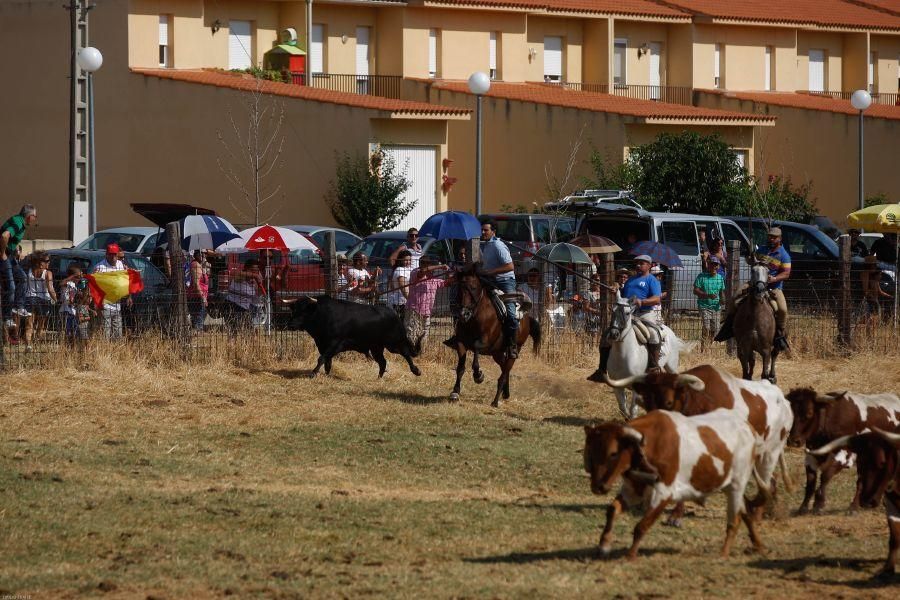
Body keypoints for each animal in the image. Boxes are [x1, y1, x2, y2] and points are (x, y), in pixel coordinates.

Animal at [284, 298, 422, 378]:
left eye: (304, 311)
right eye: (293, 310)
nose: (290, 324)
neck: (323, 315)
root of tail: (395, 314)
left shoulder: (334, 342)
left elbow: (322, 358)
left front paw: (313, 374)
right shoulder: (322, 344)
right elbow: (327, 360)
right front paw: (327, 374)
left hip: (393, 343)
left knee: (405, 353)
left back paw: (416, 371)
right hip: (376, 347)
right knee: (383, 362)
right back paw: (378, 378)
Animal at [454, 264, 536, 406]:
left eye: (473, 287)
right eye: (459, 288)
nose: (463, 314)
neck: (474, 318)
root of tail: (527, 318)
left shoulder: (485, 341)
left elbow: (476, 347)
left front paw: (478, 375)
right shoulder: (461, 342)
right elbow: (460, 368)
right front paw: (455, 392)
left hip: (514, 350)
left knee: (504, 372)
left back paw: (495, 401)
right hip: (497, 353)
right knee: (504, 369)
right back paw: (506, 393)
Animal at [584, 410, 768, 560]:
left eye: (613, 453)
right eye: (591, 451)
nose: (598, 487)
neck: (651, 444)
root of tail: (748, 427)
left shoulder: (663, 493)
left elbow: (641, 526)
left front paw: (630, 555)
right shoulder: (633, 490)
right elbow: (612, 510)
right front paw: (604, 545)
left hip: (737, 485)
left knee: (734, 522)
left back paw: (723, 553)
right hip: (729, 487)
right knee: (745, 512)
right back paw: (758, 545)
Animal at [604, 364, 796, 524]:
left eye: (668, 402)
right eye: (647, 403)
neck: (700, 404)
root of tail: (783, 399)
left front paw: (676, 514)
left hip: (770, 453)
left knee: (767, 478)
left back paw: (758, 514)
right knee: (770, 480)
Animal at [808, 428, 900, 580]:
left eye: (882, 462)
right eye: (860, 462)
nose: (867, 501)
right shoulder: (891, 507)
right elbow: (894, 538)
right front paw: (887, 569)